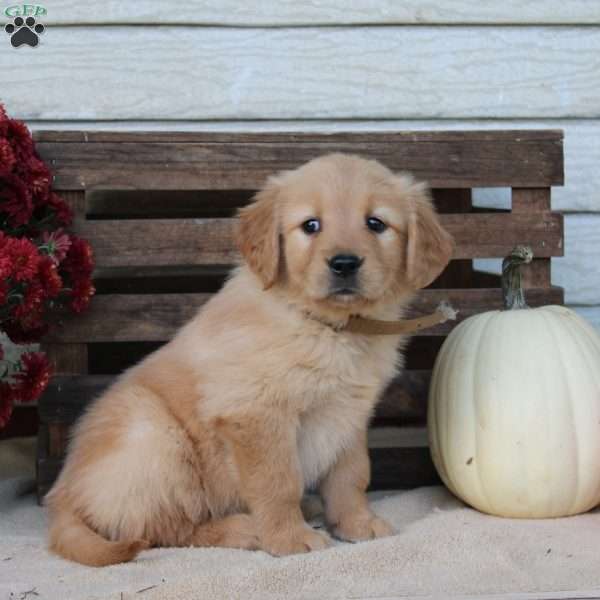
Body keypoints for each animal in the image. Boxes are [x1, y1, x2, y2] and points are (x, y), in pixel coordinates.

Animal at [45, 152, 450, 564]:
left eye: (375, 223)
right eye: (311, 225)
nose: (344, 263)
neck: (327, 327)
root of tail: (61, 499)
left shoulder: (348, 414)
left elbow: (351, 476)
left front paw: (356, 523)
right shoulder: (256, 413)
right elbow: (278, 483)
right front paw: (289, 538)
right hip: (154, 436)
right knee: (161, 528)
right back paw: (244, 529)